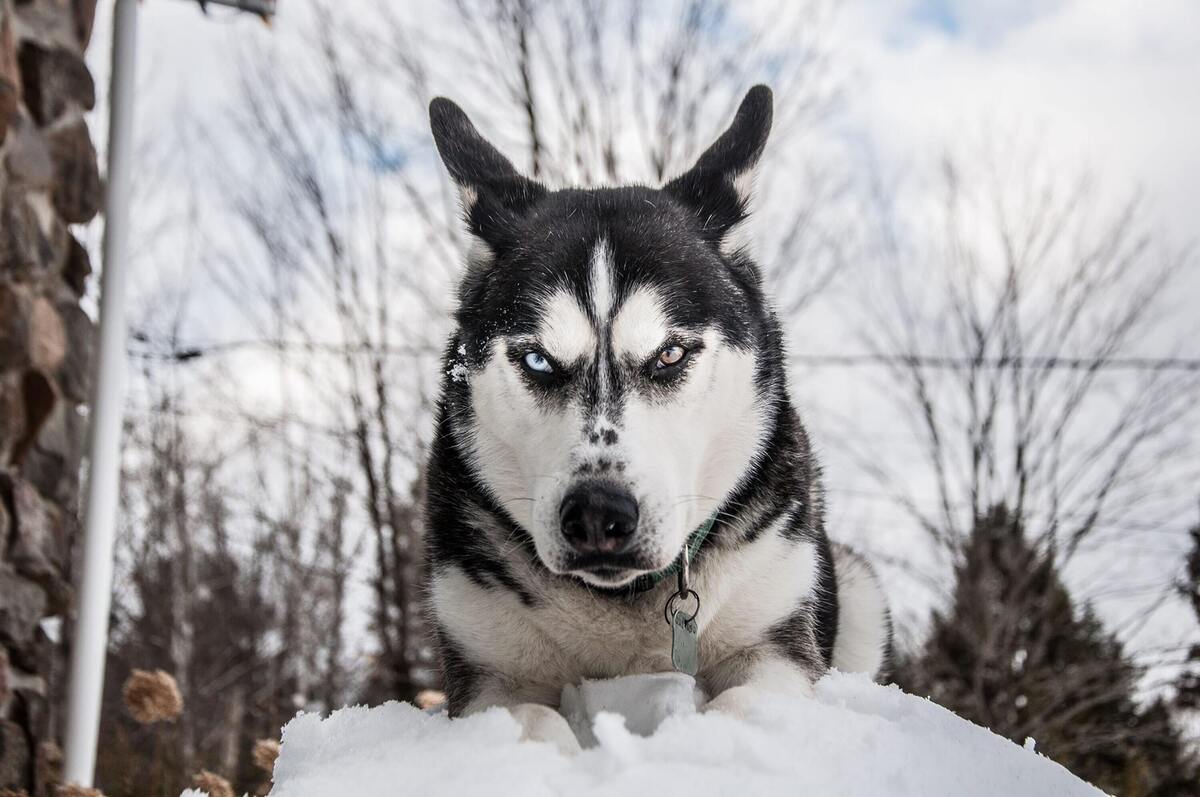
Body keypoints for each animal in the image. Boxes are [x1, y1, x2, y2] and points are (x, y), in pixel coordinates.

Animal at [424, 87, 892, 753]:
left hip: (857, 588)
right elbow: (529, 720)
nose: (598, 514)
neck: (622, 605)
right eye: (537, 360)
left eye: (669, 354)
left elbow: (742, 708)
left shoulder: (773, 649)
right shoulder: (490, 671)